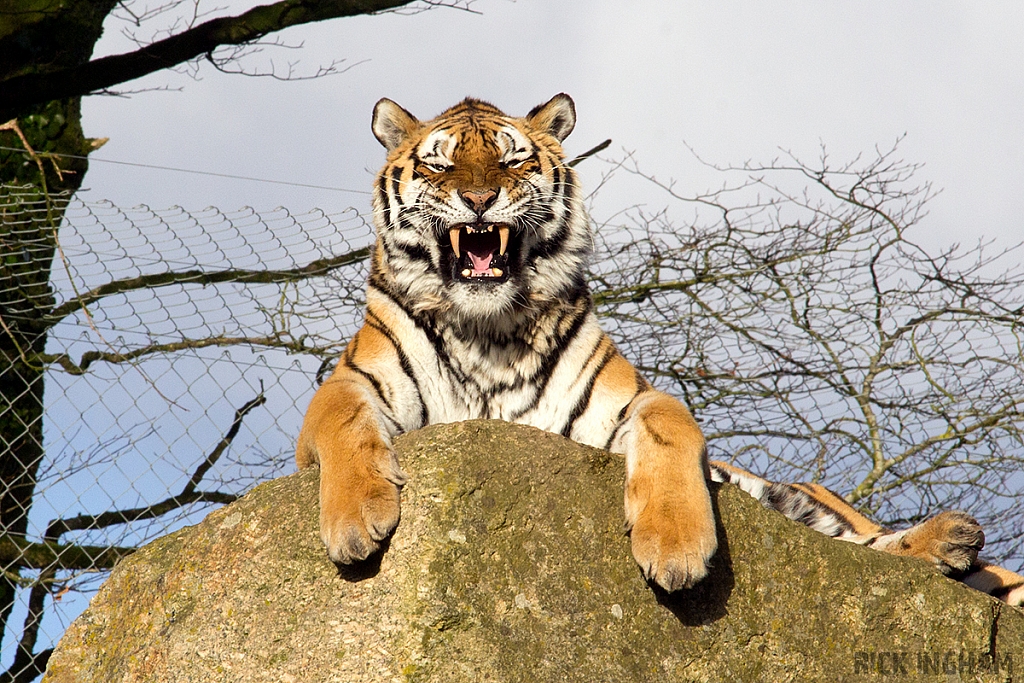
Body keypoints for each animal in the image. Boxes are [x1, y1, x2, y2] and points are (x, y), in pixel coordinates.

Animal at [294, 93, 1024, 606]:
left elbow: (671, 427)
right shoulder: (349, 388)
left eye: (513, 158)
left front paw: (675, 546)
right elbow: (343, 419)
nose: (479, 196)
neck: (488, 330)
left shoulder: (622, 404)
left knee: (872, 544)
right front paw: (358, 518)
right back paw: (949, 545)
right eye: (440, 163)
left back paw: (950, 537)